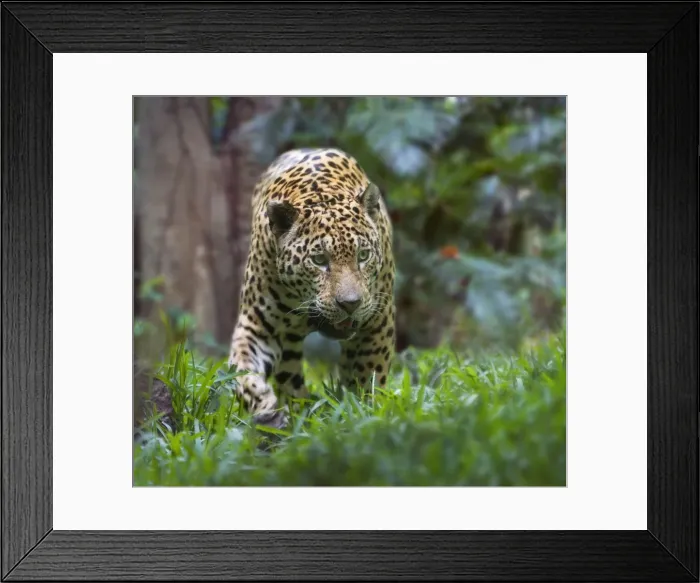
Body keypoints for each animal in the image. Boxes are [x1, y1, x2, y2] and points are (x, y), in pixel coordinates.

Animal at [228, 147, 396, 429]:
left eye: (363, 256)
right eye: (319, 261)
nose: (350, 304)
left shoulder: (378, 320)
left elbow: (369, 375)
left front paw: (364, 412)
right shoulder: (256, 326)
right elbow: (241, 370)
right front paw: (265, 407)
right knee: (289, 375)